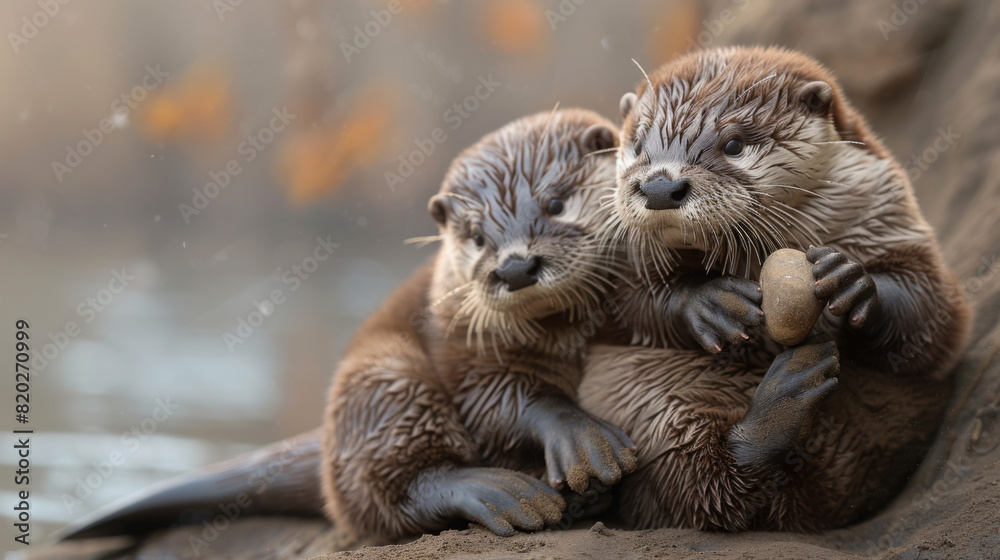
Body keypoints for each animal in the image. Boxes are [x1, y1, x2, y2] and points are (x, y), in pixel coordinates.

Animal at [580, 46, 971, 531]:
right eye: (635, 144)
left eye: (734, 144)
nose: (659, 186)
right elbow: (613, 305)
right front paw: (708, 302)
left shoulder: (889, 215)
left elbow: (935, 313)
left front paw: (852, 282)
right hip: (649, 402)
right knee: (700, 490)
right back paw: (781, 408)